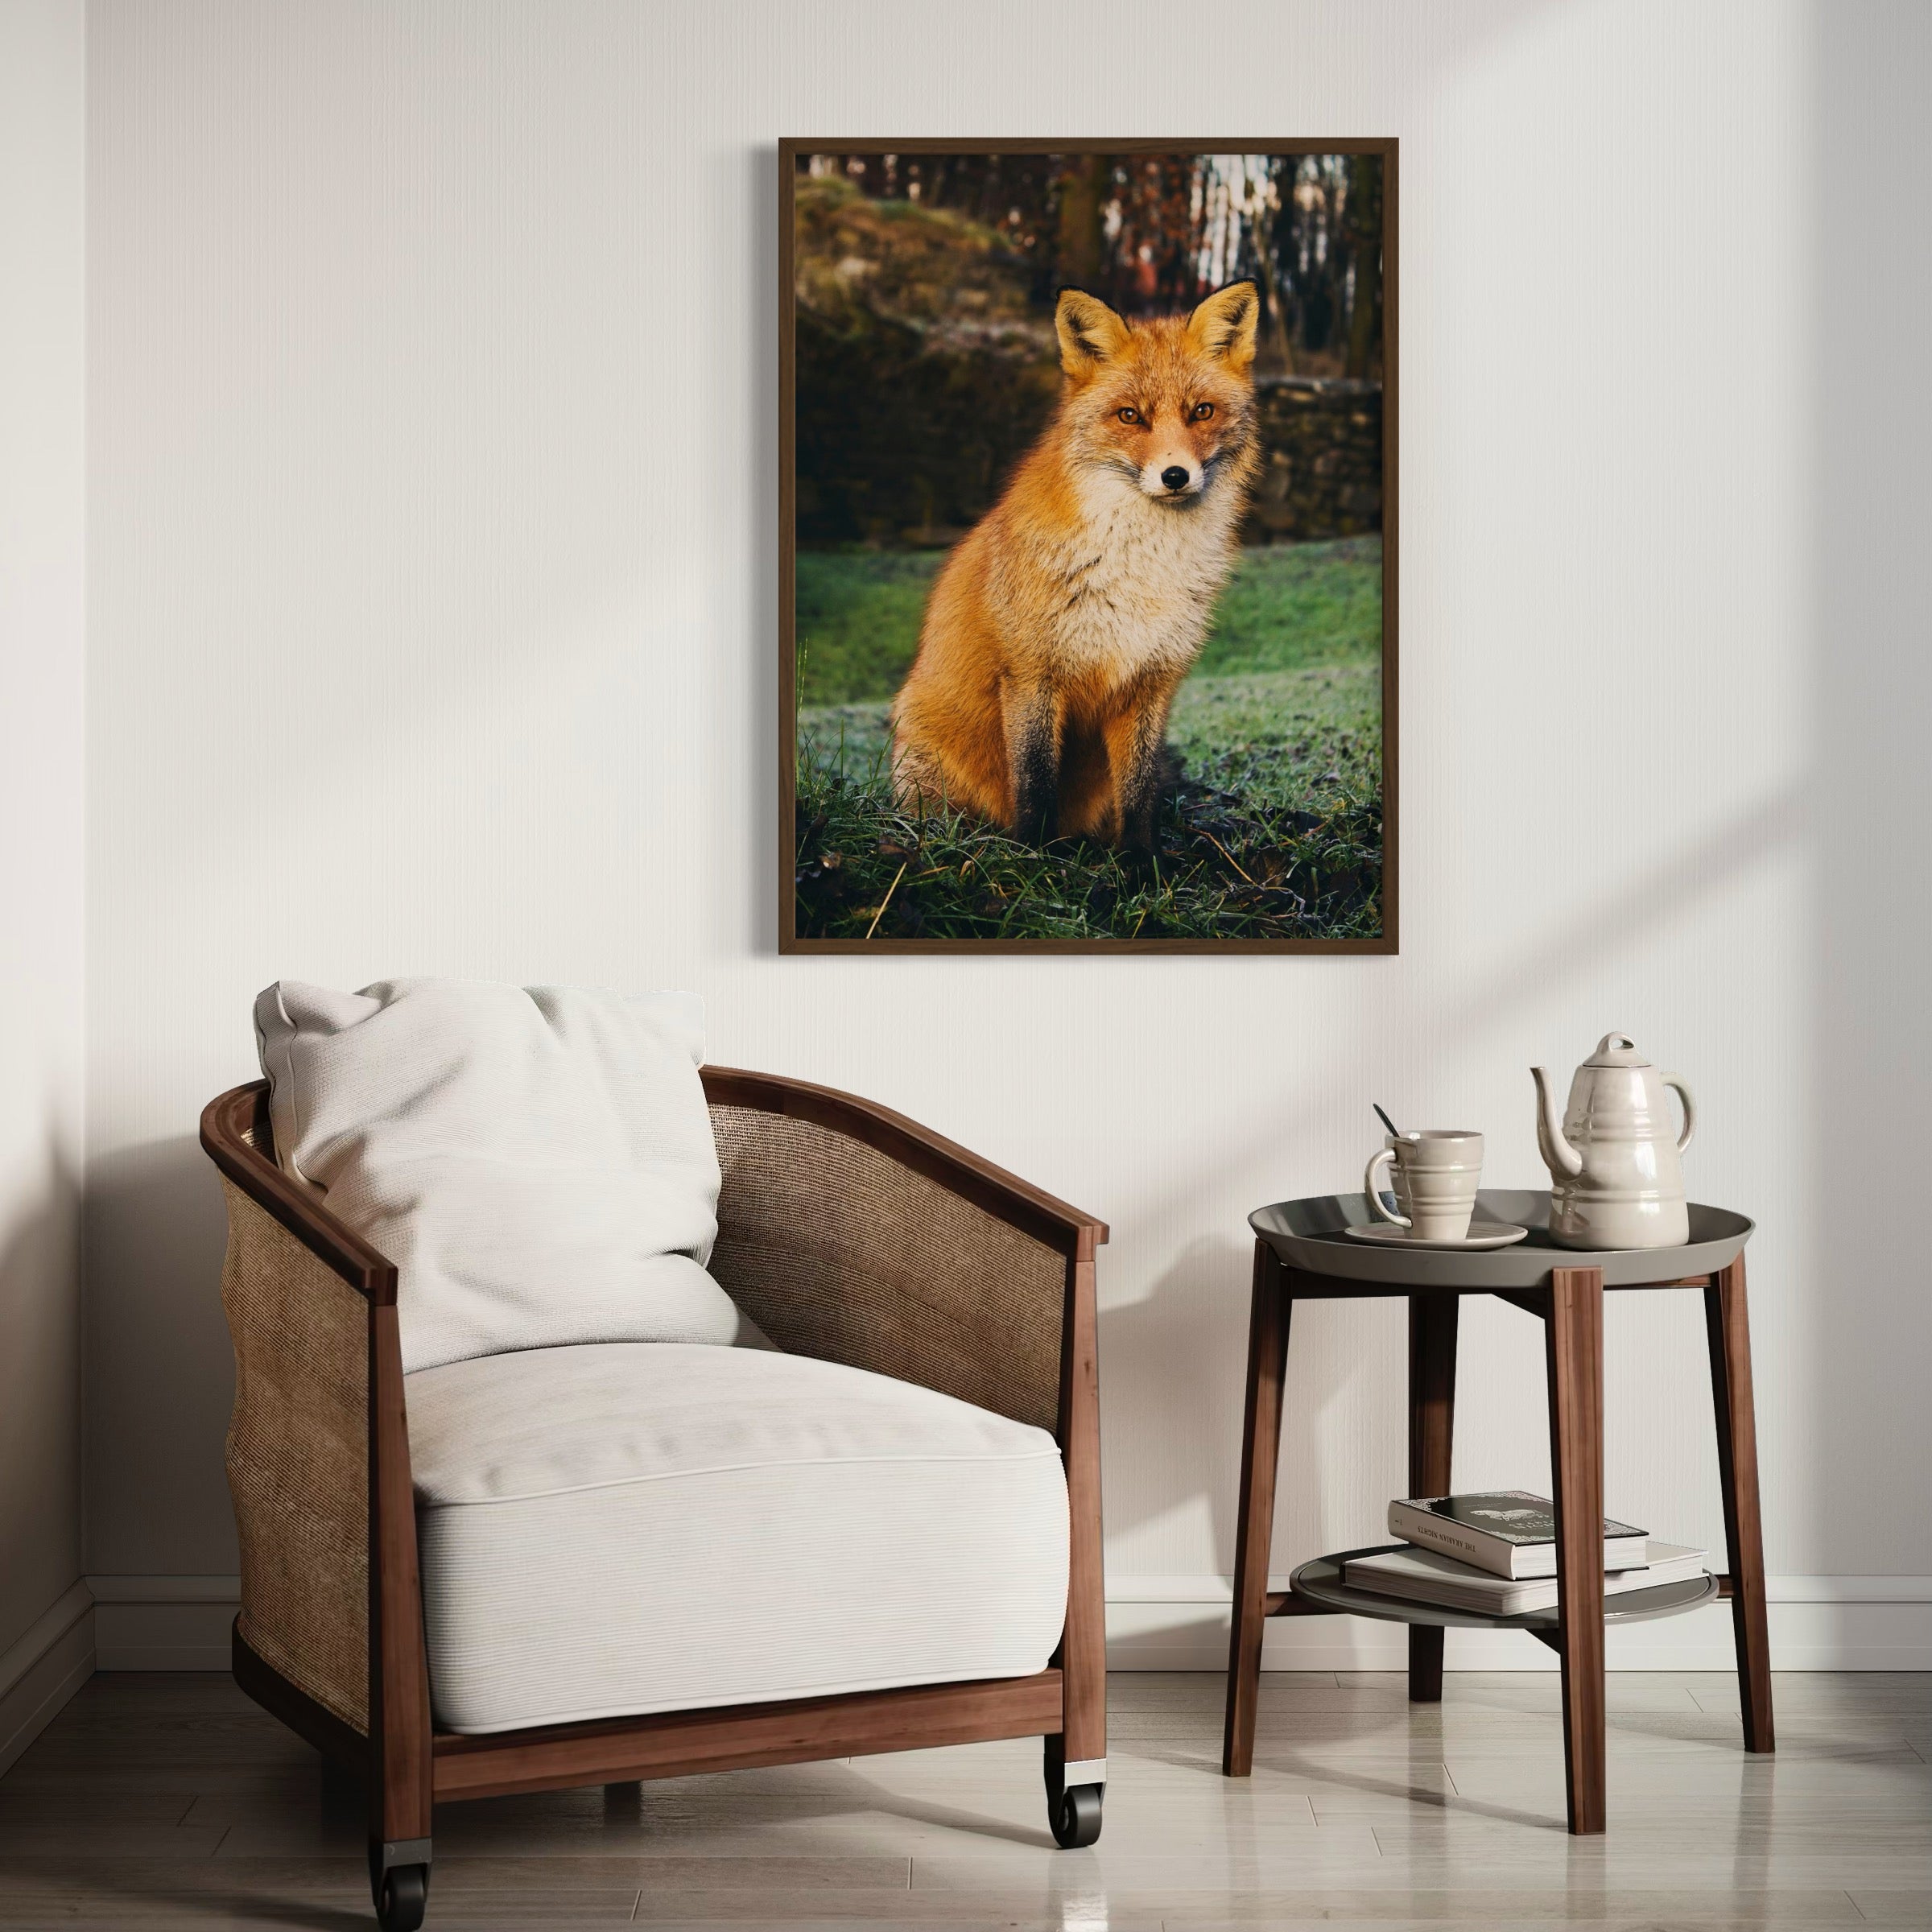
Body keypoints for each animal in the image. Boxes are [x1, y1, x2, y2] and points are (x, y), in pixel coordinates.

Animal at [889, 279, 1261, 849]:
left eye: (1202, 412)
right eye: (1130, 415)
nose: (1176, 476)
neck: (1140, 569)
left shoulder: (1151, 681)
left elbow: (1140, 792)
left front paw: (1141, 862)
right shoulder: (1031, 673)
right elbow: (1036, 781)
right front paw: (1033, 855)